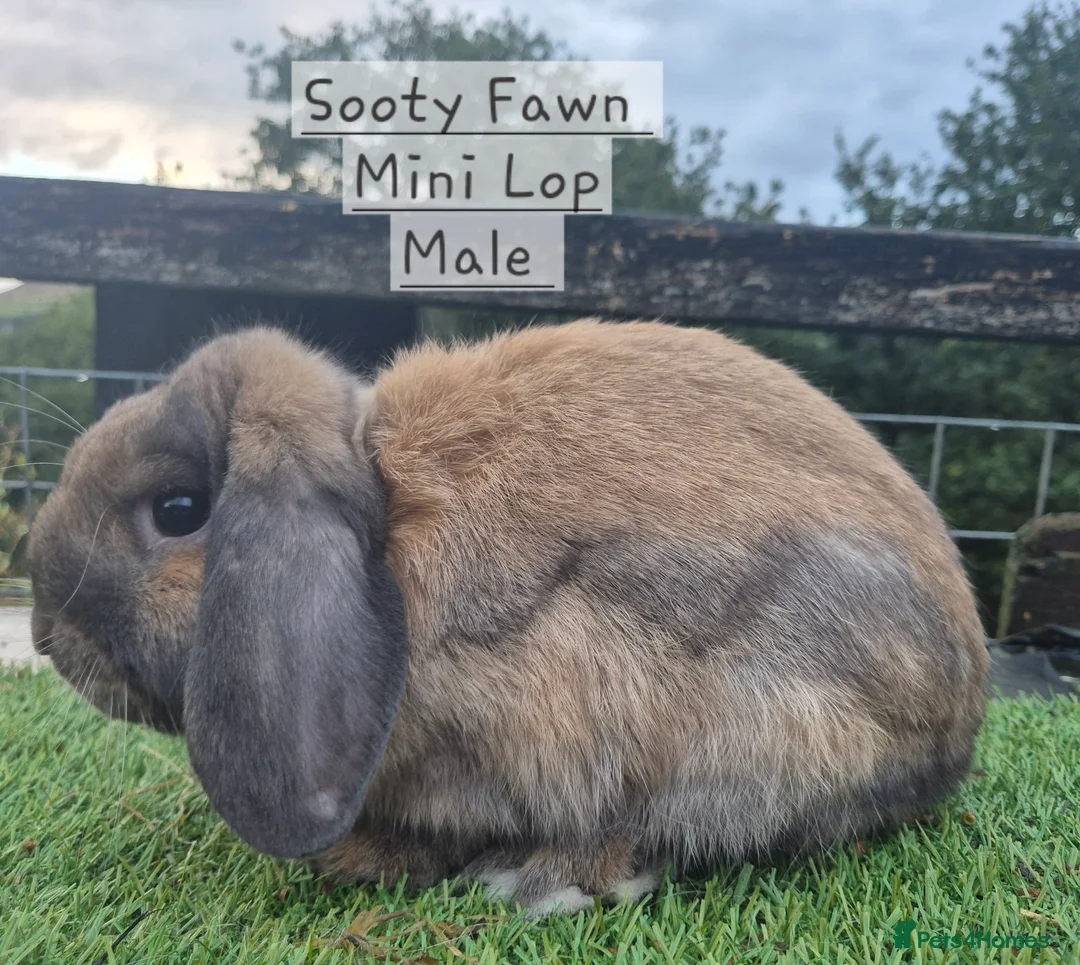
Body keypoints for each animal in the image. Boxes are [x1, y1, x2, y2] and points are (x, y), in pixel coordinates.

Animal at [27, 318, 989, 917]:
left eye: (180, 509)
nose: (45, 632)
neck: (390, 511)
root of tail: (960, 720)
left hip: (757, 720)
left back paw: (538, 879)